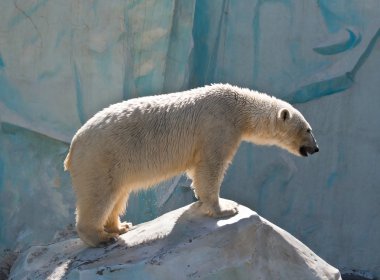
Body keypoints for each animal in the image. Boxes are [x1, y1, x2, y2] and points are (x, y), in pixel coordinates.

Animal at [63, 83, 320, 247]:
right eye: (308, 129)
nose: (316, 148)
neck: (238, 108)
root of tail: (73, 146)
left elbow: (198, 170)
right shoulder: (218, 126)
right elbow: (211, 166)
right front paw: (226, 209)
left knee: (118, 194)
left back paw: (120, 226)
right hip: (101, 157)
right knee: (99, 195)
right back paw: (102, 238)